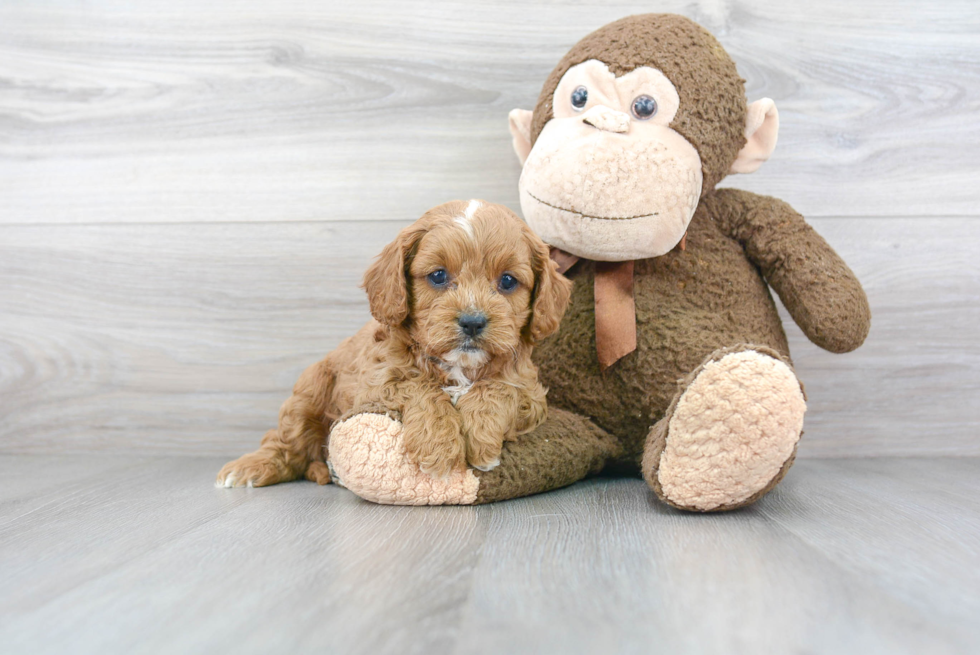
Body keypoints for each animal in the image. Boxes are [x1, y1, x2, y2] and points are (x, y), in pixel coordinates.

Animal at [217, 200, 572, 486]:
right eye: (438, 276)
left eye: (508, 281)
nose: (472, 322)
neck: (458, 366)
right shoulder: (375, 383)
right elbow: (418, 387)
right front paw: (439, 448)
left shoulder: (531, 392)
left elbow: (498, 388)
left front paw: (480, 437)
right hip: (308, 394)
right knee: (284, 444)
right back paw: (249, 468)